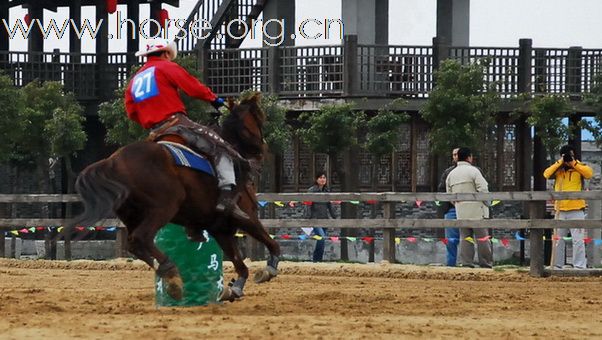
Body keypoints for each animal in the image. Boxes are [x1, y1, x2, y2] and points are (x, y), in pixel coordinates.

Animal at [67, 94, 278, 302]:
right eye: (259, 118)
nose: (264, 150)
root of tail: (112, 161)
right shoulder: (247, 217)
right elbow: (271, 243)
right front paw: (269, 269)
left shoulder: (220, 229)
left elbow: (240, 265)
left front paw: (234, 289)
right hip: (163, 208)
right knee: (141, 239)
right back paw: (170, 272)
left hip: (132, 215)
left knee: (135, 244)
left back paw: (169, 277)